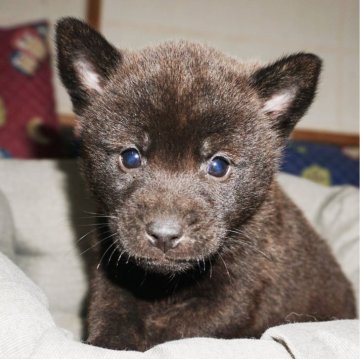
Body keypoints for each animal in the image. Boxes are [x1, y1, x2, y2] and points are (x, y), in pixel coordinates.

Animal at [55, 18, 354, 352]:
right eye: (130, 157)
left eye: (219, 165)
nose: (164, 234)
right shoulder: (110, 269)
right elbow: (109, 316)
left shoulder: (236, 295)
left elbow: (174, 332)